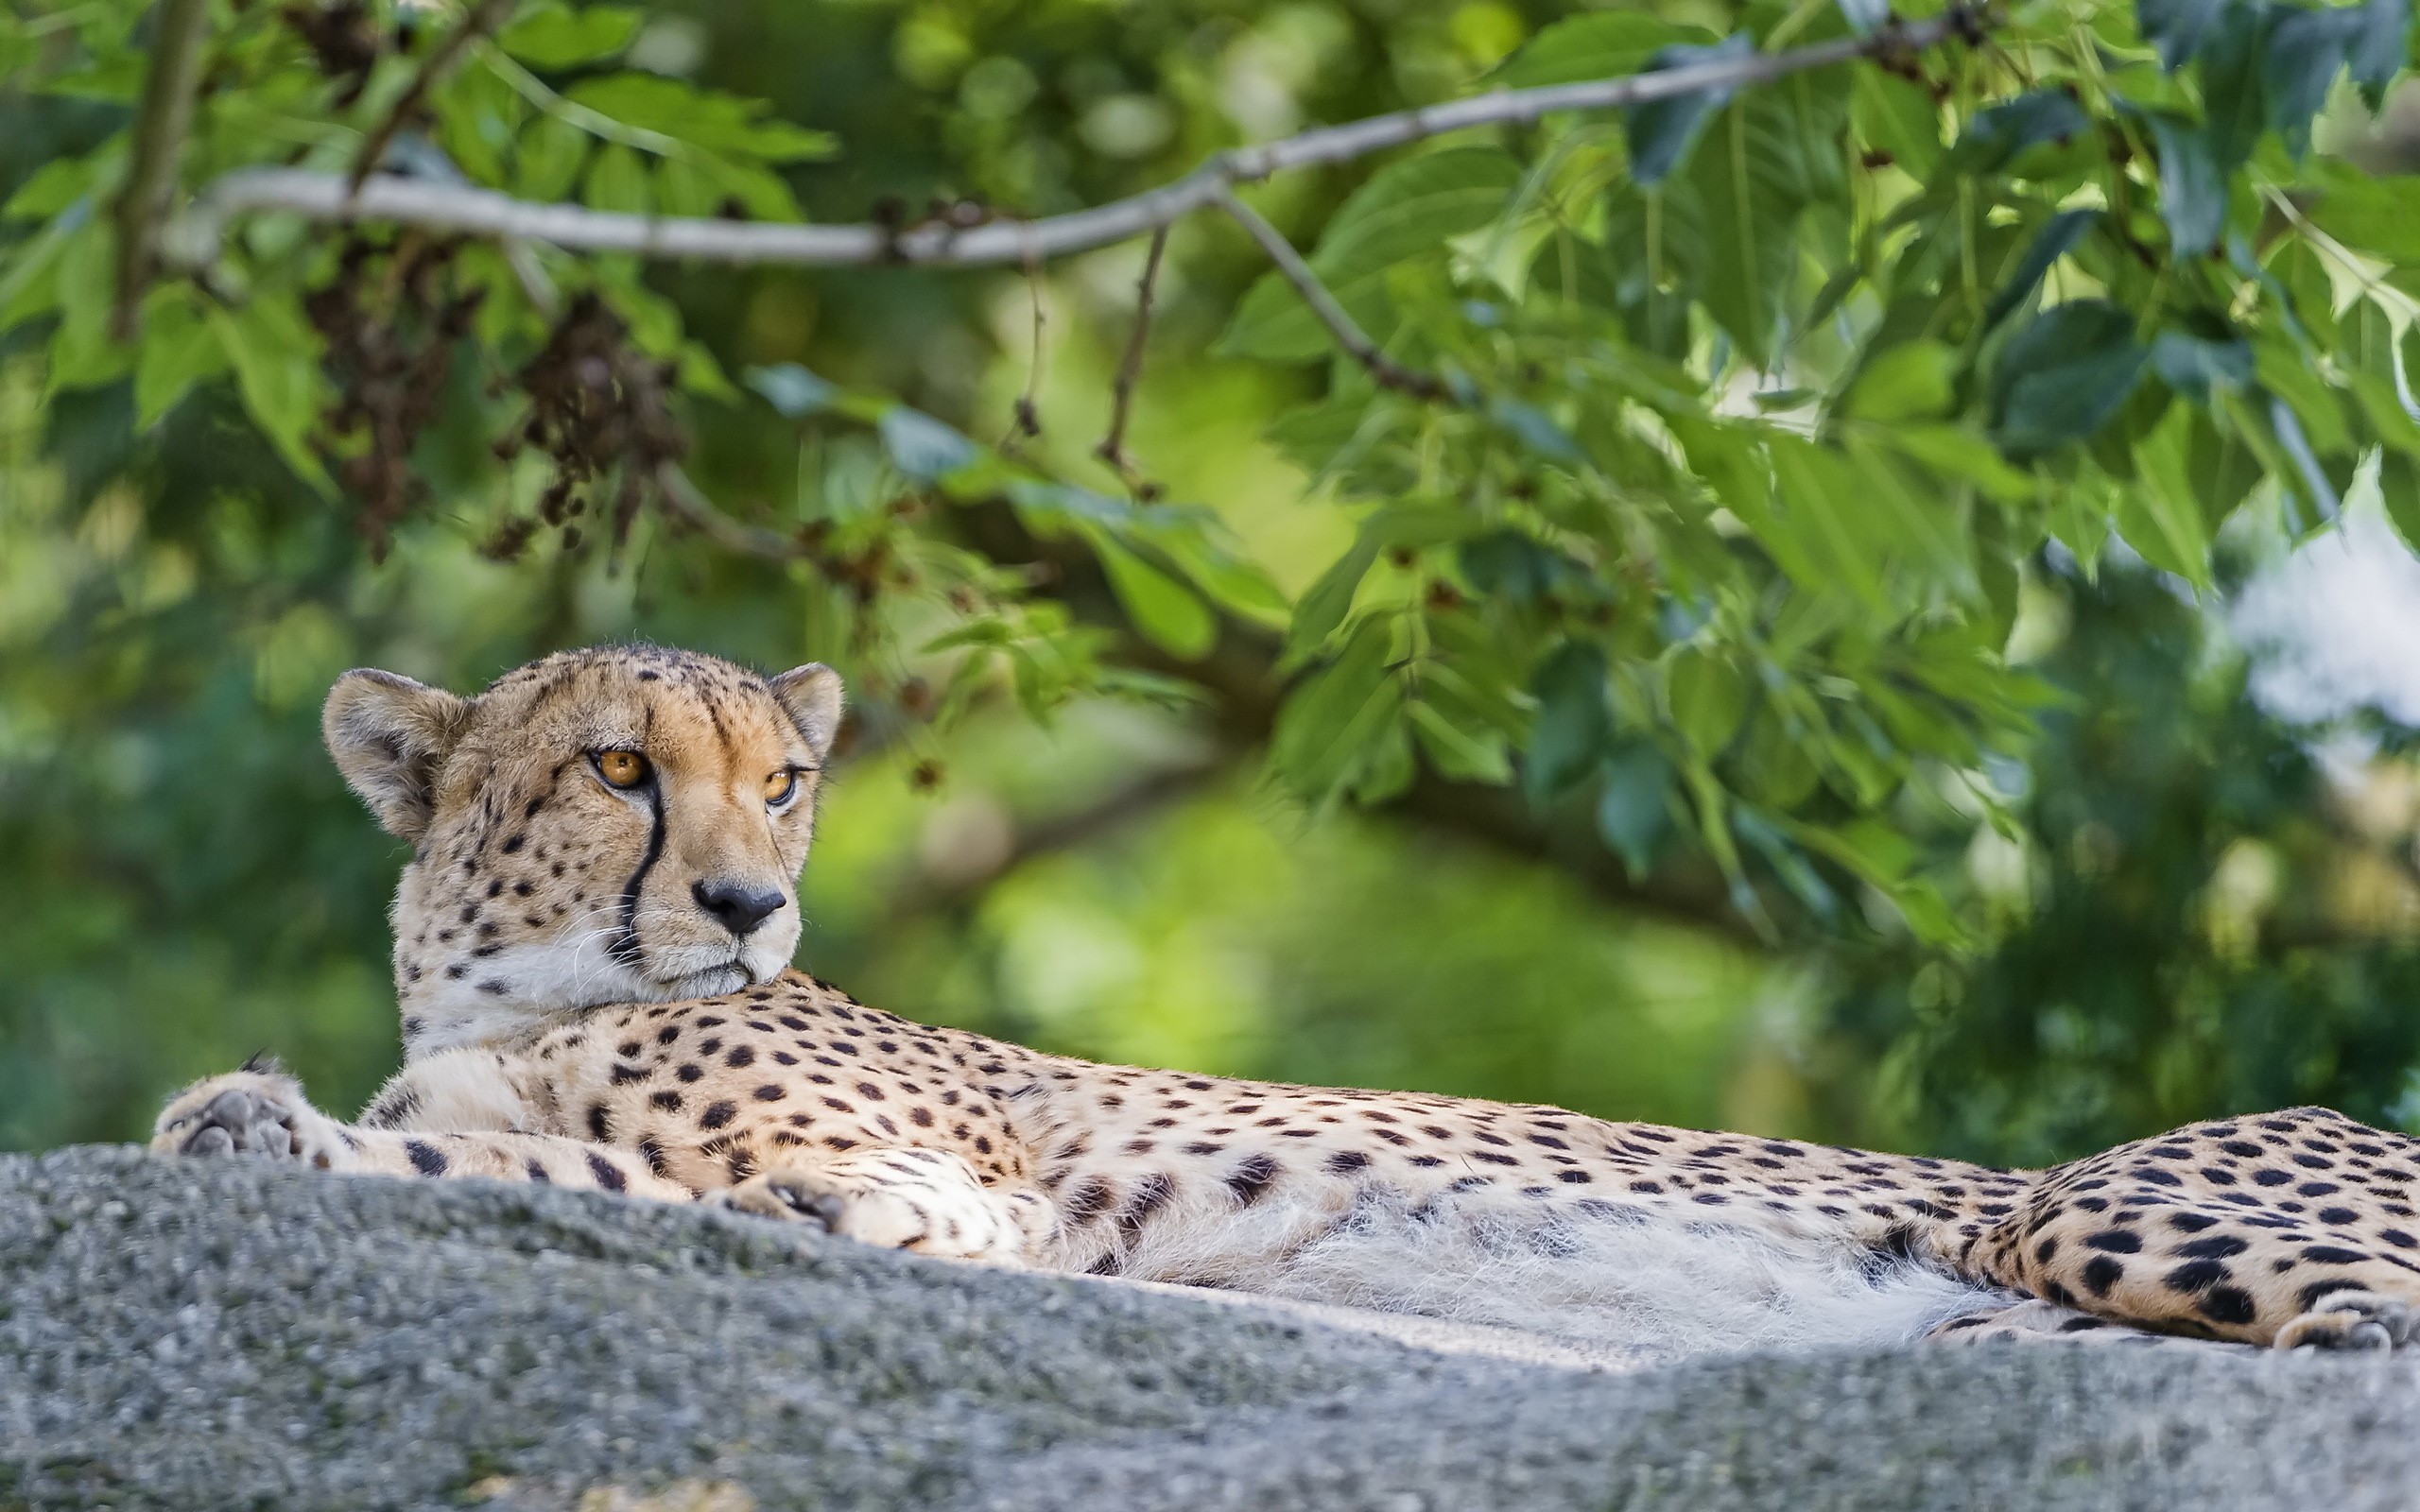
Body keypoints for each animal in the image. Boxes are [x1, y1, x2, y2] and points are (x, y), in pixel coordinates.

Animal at [151, 644, 2420, 1360]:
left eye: (782, 777)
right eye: (621, 766)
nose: (746, 899)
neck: (517, 996)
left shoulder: (932, 1207)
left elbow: (608, 1187)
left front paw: (268, 1119)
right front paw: (254, 1112)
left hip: (2088, 1202)